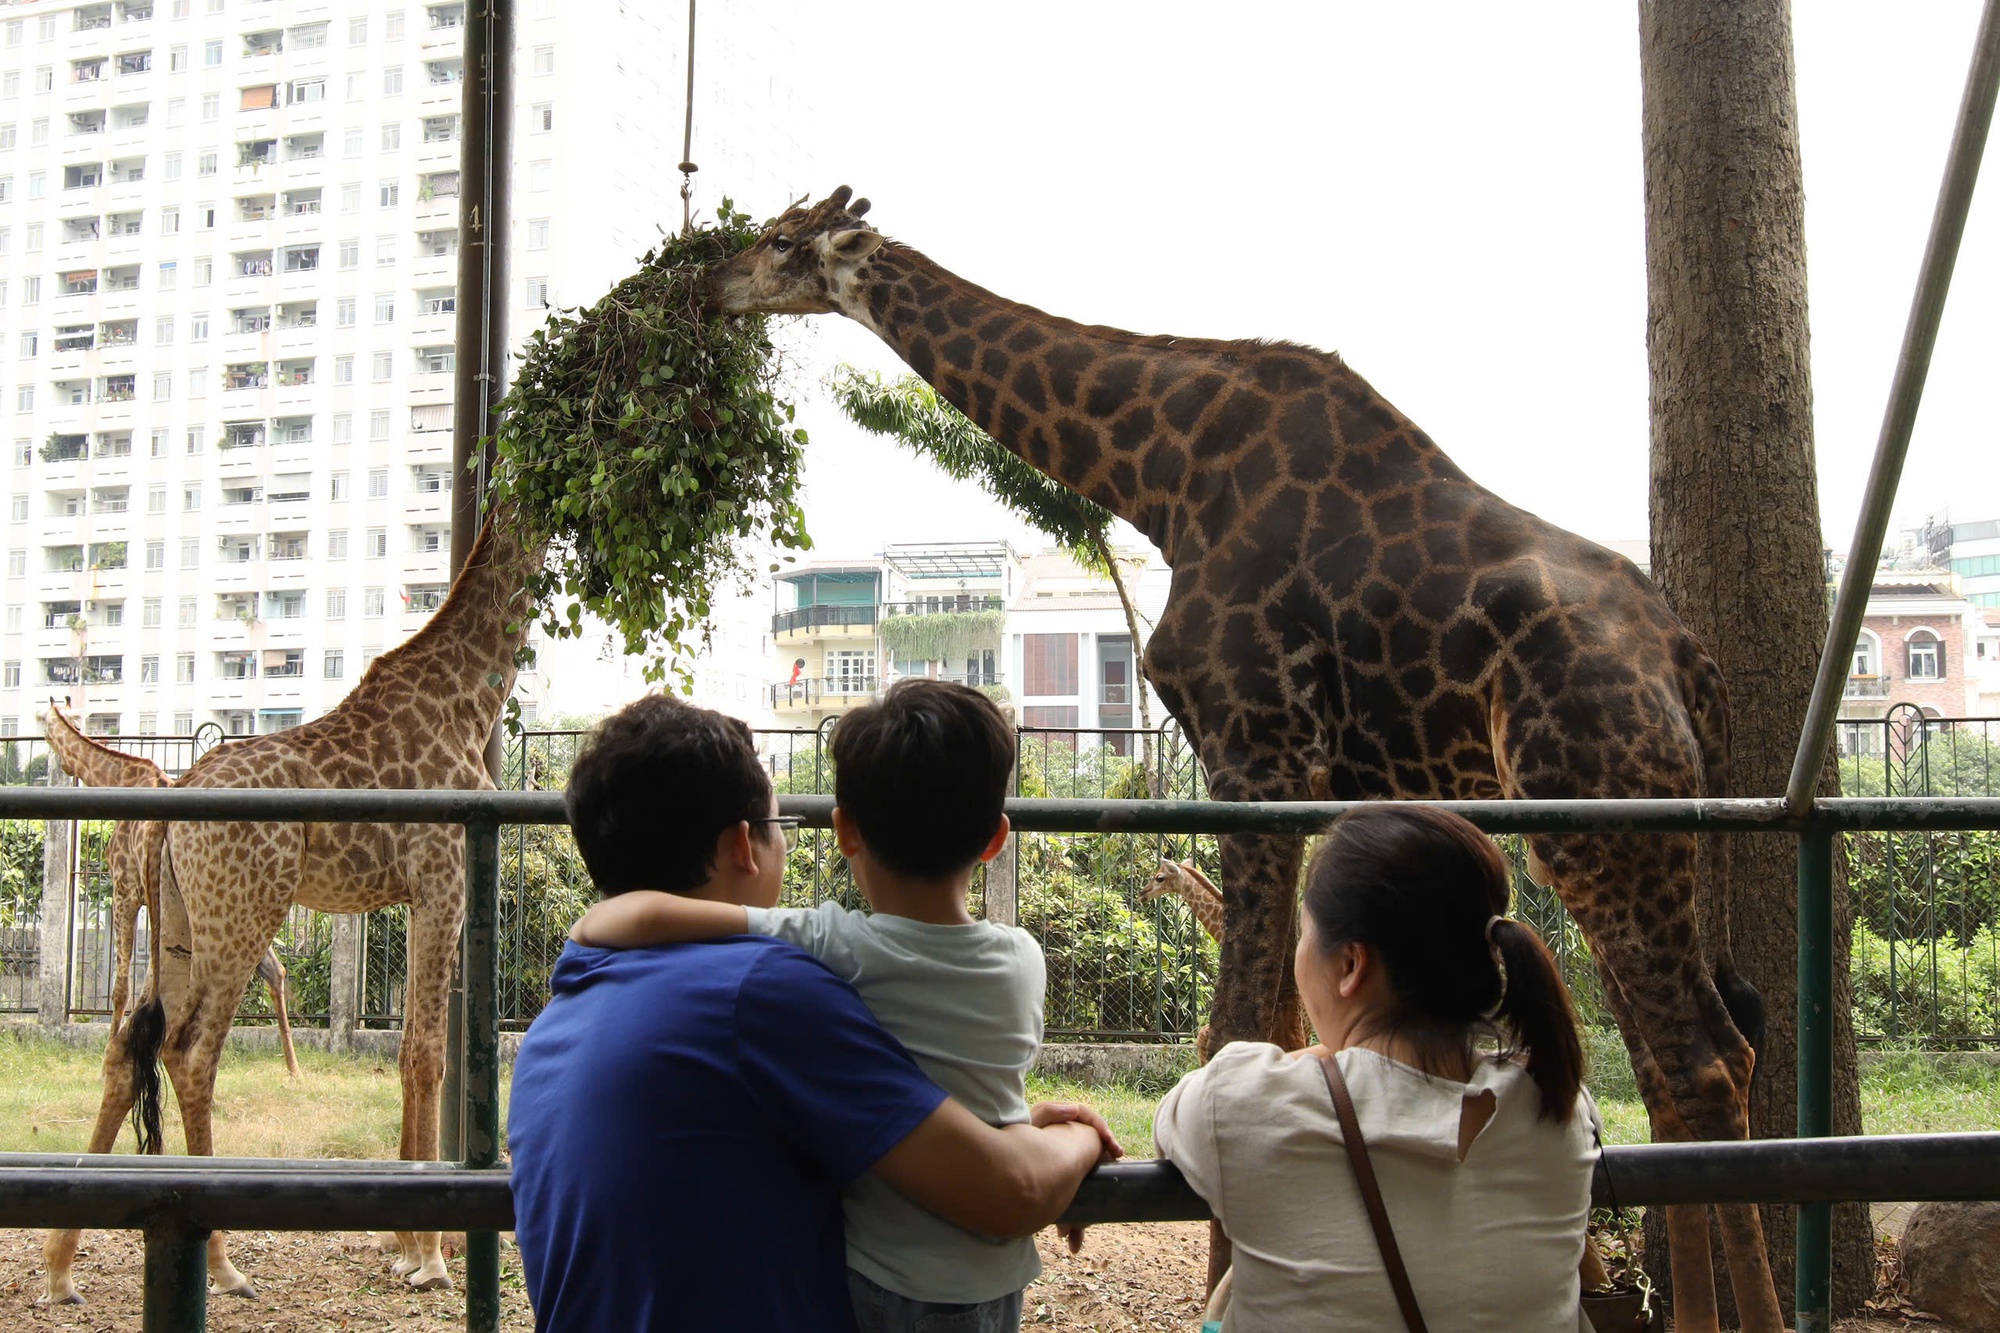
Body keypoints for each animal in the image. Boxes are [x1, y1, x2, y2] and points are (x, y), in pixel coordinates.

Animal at [36, 700, 300, 1072]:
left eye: (46, 729)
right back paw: (292, 1069)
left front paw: (110, 1057)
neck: (123, 781)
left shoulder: (125, 887)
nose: (63, 764)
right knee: (273, 970)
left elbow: (123, 986)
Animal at [712, 189, 1792, 1328]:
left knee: (1704, 1059)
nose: (708, 285)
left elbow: (1224, 1032)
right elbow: (1272, 1026)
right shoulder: (1304, 784)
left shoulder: (1251, 749)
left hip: (1602, 819)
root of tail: (1691, 668)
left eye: (779, 241)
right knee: (1680, 1057)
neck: (1159, 467)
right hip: (1627, 832)